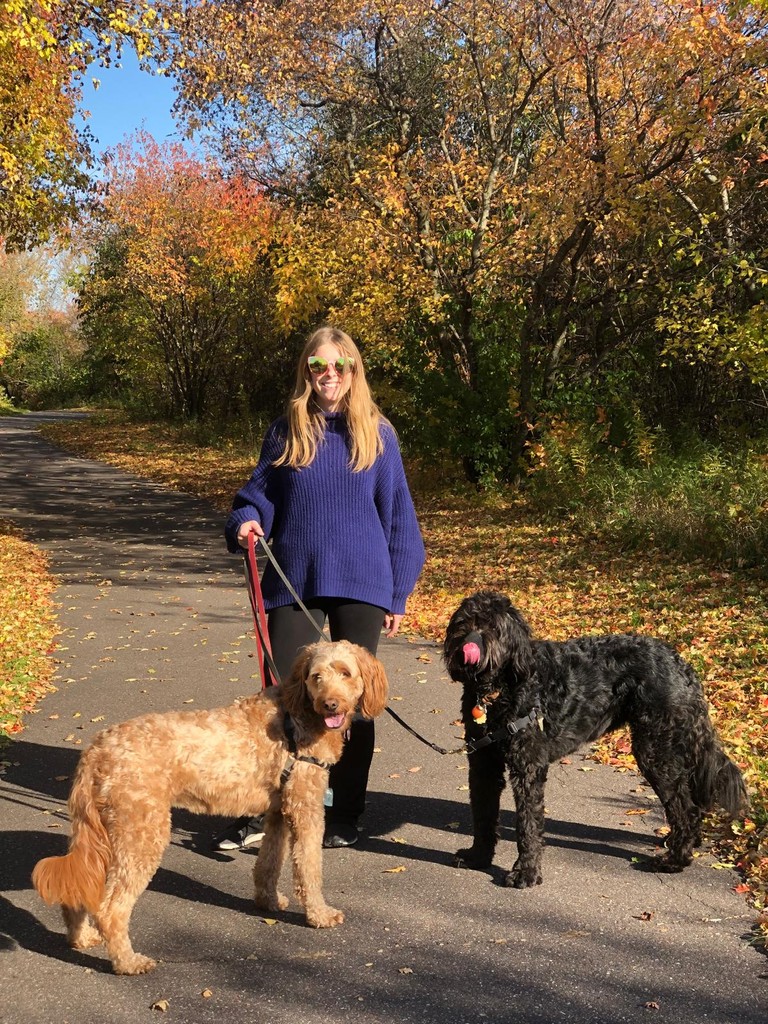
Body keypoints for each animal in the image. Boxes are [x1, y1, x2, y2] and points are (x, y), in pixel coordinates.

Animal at [32, 638, 387, 974]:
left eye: (345, 673)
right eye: (316, 677)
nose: (330, 704)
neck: (298, 714)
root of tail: (96, 749)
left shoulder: (278, 812)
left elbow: (269, 863)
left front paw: (268, 901)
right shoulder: (306, 809)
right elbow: (309, 869)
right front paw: (320, 915)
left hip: (104, 835)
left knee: (80, 887)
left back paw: (81, 938)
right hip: (142, 833)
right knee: (110, 909)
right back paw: (128, 962)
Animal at [444, 593, 753, 888]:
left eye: (492, 627)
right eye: (464, 623)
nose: (468, 646)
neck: (500, 690)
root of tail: (683, 666)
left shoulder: (528, 768)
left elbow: (527, 824)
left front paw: (525, 873)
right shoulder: (483, 763)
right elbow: (483, 815)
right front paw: (478, 857)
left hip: (656, 751)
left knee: (685, 808)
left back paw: (675, 859)